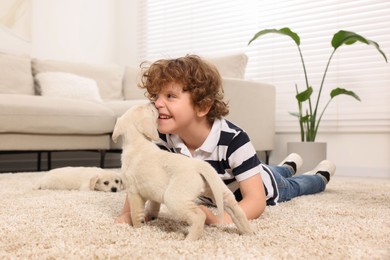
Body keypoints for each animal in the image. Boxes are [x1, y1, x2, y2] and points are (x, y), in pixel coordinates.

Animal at [112, 102, 253, 241]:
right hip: (218, 189)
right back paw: (248, 233)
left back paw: (189, 240)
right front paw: (151, 216)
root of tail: (198, 164)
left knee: (199, 216)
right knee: (236, 210)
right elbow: (153, 205)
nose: (154, 103)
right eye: (151, 110)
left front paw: (137, 228)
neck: (137, 143)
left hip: (174, 198)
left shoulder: (133, 192)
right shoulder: (152, 191)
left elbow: (135, 213)